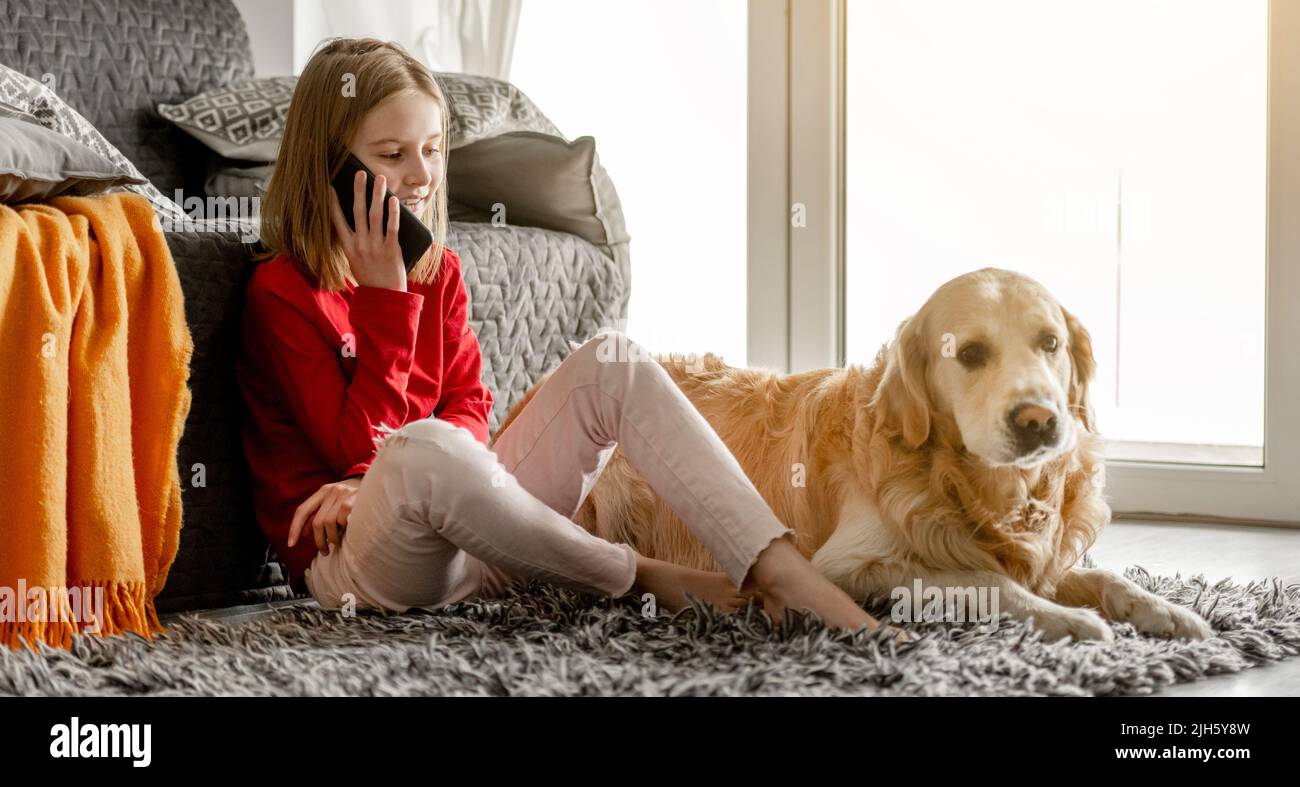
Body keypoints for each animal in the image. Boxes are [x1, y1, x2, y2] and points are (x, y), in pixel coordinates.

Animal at [491, 266, 1211, 642]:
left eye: (1051, 343)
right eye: (969, 353)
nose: (1039, 419)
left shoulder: (1041, 552)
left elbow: (1104, 575)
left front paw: (1170, 611)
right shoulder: (854, 564)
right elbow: (983, 580)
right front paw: (1073, 621)